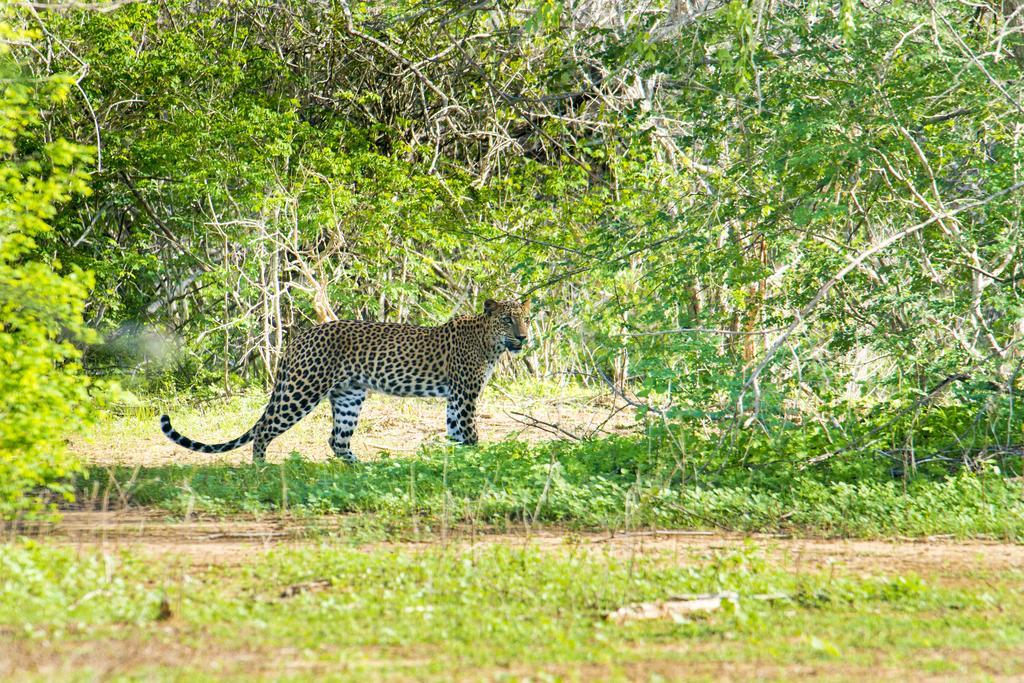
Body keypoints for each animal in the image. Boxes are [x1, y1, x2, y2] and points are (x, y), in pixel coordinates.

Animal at [160, 299, 532, 464]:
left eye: (526, 319)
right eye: (507, 319)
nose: (524, 338)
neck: (489, 342)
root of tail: (300, 337)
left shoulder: (455, 396)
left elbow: (457, 433)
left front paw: (459, 465)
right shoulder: (465, 393)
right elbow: (470, 433)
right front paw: (480, 463)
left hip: (349, 395)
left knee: (336, 439)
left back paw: (363, 470)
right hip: (302, 389)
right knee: (265, 429)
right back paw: (261, 469)